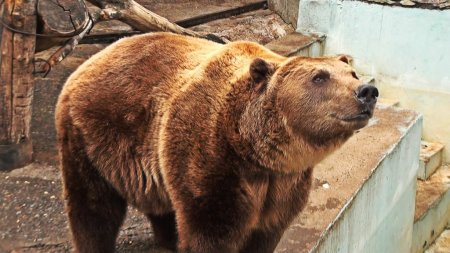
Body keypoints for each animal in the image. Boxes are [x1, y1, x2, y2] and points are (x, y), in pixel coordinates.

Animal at [56, 32, 378, 253]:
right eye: (319, 77)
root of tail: (95, 57)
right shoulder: (211, 161)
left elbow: (266, 233)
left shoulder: (283, 184)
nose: (367, 91)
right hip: (91, 139)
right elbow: (210, 231)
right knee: (93, 207)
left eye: (352, 73)